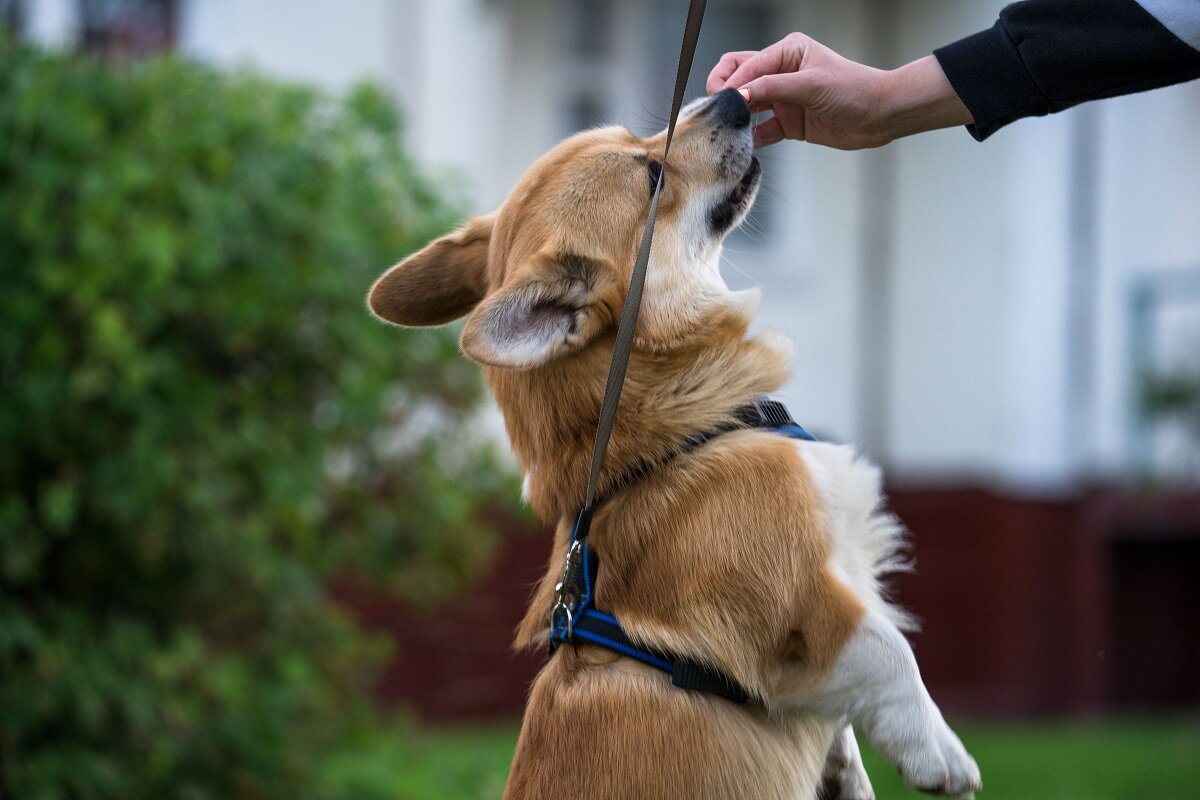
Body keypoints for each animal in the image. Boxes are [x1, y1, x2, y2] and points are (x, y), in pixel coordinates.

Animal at [369, 87, 979, 800]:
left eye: (641, 134)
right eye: (653, 175)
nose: (733, 96)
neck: (674, 439)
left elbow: (842, 723)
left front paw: (849, 777)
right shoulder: (802, 597)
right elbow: (891, 652)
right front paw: (939, 754)